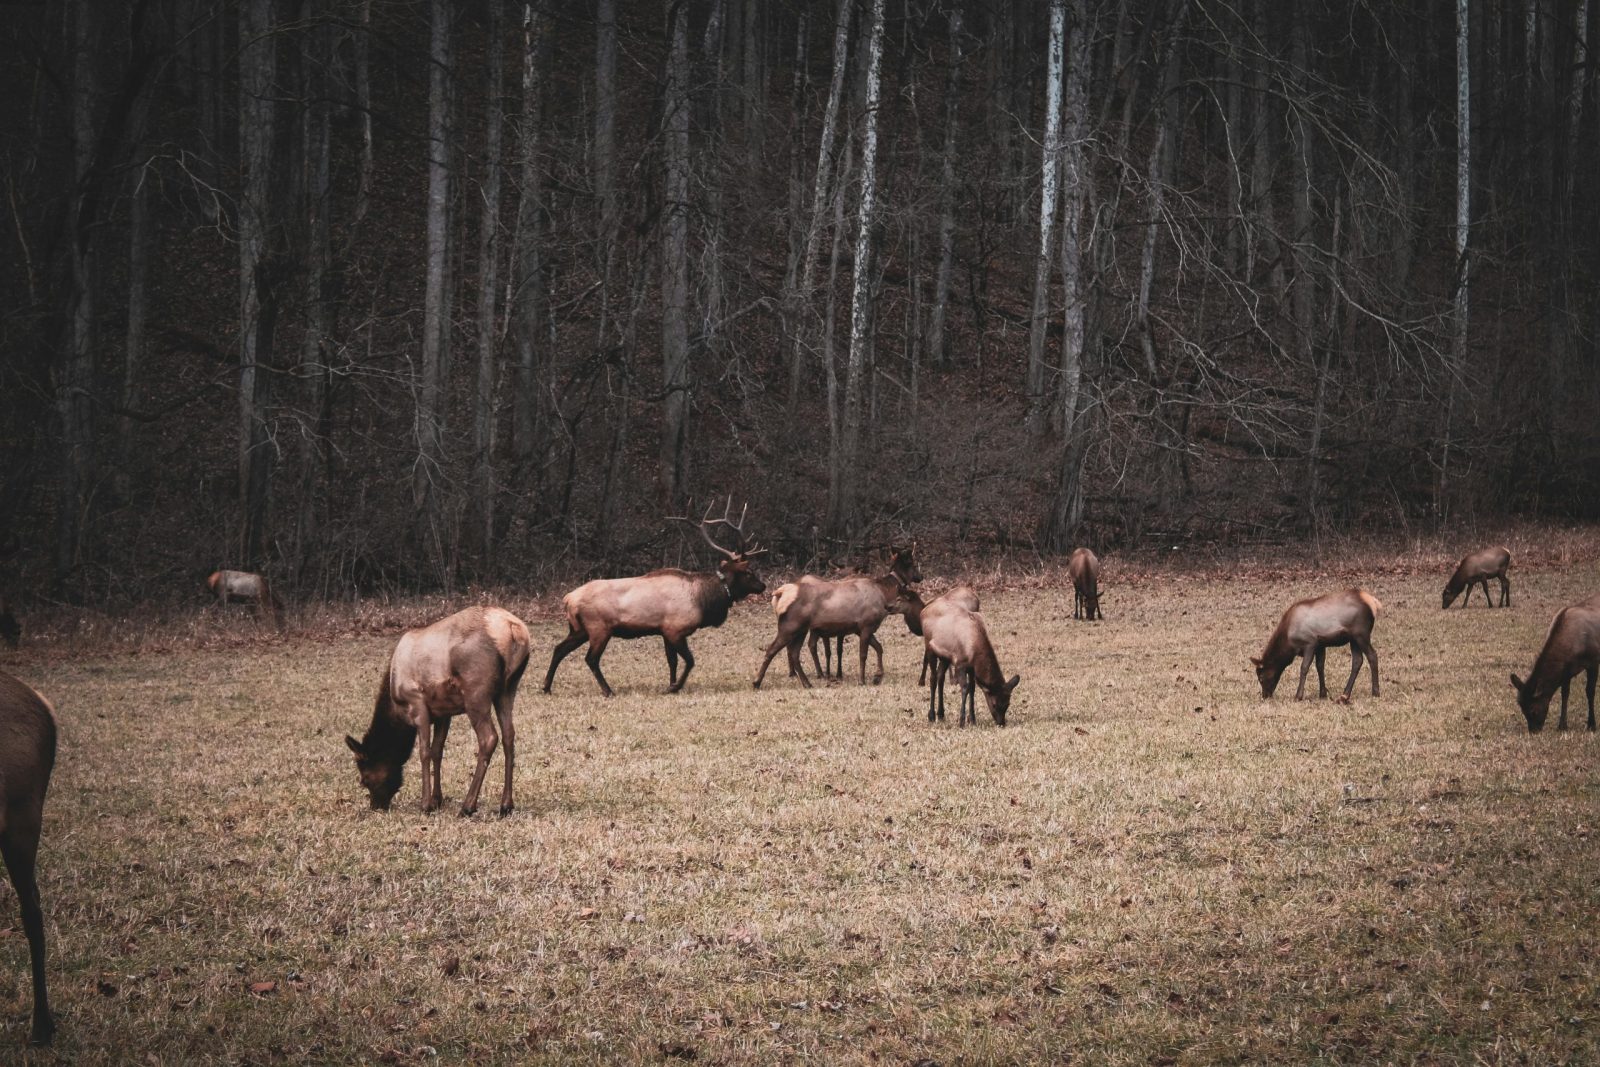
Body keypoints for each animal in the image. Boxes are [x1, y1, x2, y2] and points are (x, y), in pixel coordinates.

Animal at [345, 605, 531, 816]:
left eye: (364, 779)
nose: (377, 806)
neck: (397, 711)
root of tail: (514, 630)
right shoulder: (443, 712)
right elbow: (437, 751)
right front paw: (436, 799)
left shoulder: (417, 703)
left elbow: (424, 752)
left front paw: (425, 804)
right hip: (507, 690)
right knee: (509, 735)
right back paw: (506, 804)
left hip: (476, 693)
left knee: (489, 738)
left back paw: (468, 806)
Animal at [544, 500, 767, 697]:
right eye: (749, 572)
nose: (763, 585)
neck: (703, 601)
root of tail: (568, 599)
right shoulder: (675, 629)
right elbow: (690, 661)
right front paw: (674, 687)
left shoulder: (665, 630)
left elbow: (672, 661)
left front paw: (671, 684)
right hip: (599, 628)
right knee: (591, 659)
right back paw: (607, 690)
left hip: (579, 629)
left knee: (558, 649)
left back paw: (546, 687)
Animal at [758, 545, 923, 688]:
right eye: (912, 563)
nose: (920, 576)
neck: (884, 594)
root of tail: (779, 593)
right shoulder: (866, 625)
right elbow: (863, 654)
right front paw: (862, 680)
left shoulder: (860, 629)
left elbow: (879, 648)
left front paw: (878, 676)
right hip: (790, 626)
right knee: (771, 650)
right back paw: (757, 682)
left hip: (801, 630)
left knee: (794, 653)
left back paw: (806, 682)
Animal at [1252, 589, 1382, 702]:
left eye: (1261, 678)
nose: (1265, 696)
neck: (1289, 643)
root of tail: (1373, 602)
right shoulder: (1320, 645)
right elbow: (1320, 666)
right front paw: (1322, 694)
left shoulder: (1310, 643)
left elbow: (1304, 667)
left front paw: (1298, 696)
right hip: (1353, 639)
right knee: (1357, 660)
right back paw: (1345, 695)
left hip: (1361, 634)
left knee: (1372, 655)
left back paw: (1375, 692)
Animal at [1509, 597, 1600, 732]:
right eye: (1522, 710)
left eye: (1533, 710)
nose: (1533, 731)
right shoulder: (1567, 670)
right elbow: (1565, 694)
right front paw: (1562, 725)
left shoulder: (1593, 661)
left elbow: (1590, 691)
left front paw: (1591, 725)